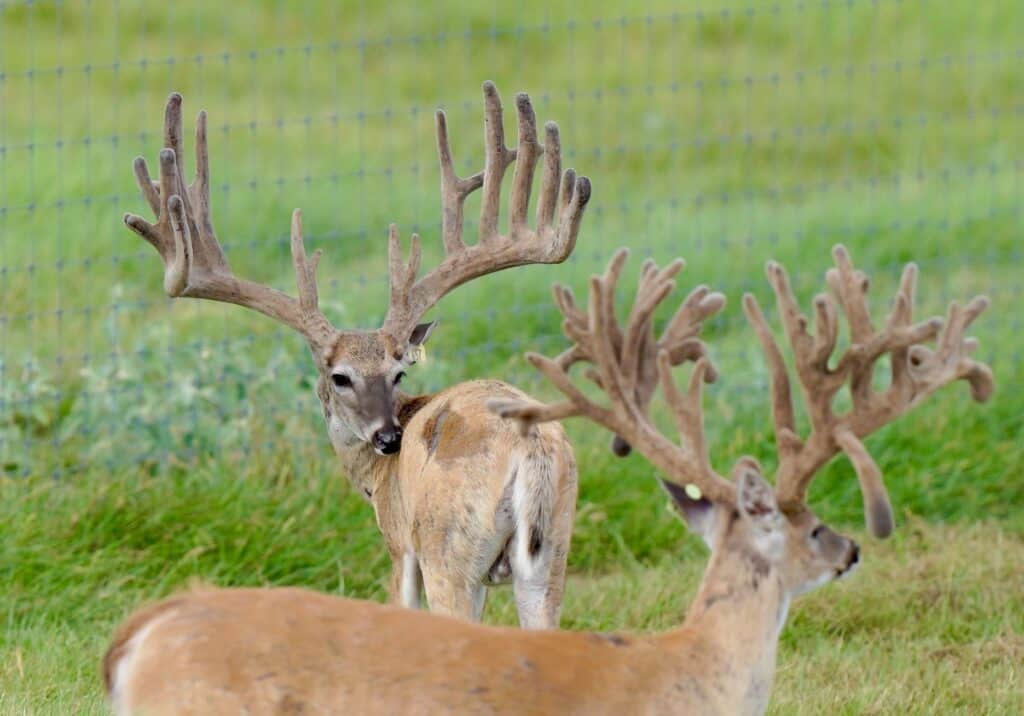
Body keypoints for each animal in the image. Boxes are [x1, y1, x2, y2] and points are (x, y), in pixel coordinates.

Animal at [121, 84, 594, 628]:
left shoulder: (399, 545)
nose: (389, 438)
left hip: (447, 548)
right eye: (341, 376)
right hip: (552, 553)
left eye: (397, 373)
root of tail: (530, 449)